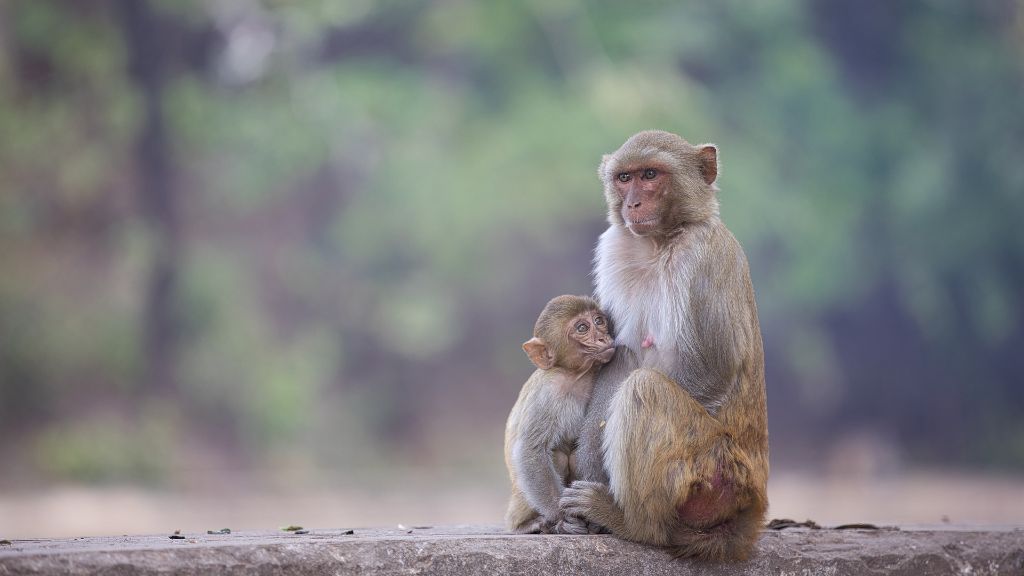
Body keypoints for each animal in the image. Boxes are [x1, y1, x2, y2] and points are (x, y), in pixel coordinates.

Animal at [504, 295, 617, 535]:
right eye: (582, 328)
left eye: (599, 321)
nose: (603, 337)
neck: (576, 376)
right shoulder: (548, 393)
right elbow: (531, 449)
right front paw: (562, 517)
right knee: (557, 455)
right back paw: (528, 524)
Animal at [558, 130, 769, 561]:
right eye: (624, 178)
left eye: (651, 175)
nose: (633, 203)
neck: (661, 243)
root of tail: (751, 505)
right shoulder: (615, 249)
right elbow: (620, 357)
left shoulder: (704, 256)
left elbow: (712, 368)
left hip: (714, 474)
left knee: (645, 390)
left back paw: (634, 524)